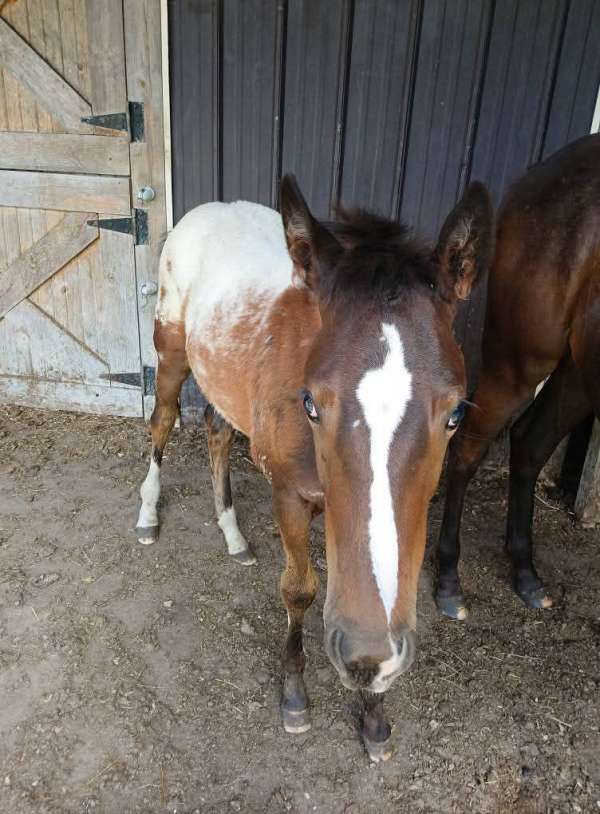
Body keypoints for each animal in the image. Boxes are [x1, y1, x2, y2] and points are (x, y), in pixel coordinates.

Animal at [137, 177, 492, 760]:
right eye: (310, 403)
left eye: (457, 413)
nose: (369, 658)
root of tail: (207, 210)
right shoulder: (289, 492)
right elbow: (299, 588)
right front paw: (295, 697)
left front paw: (373, 714)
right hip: (170, 350)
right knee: (163, 419)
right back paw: (147, 513)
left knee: (216, 430)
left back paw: (232, 534)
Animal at [436, 134, 600, 620]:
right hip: (521, 358)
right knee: (472, 445)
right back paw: (448, 577)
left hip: (577, 368)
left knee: (530, 439)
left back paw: (525, 571)